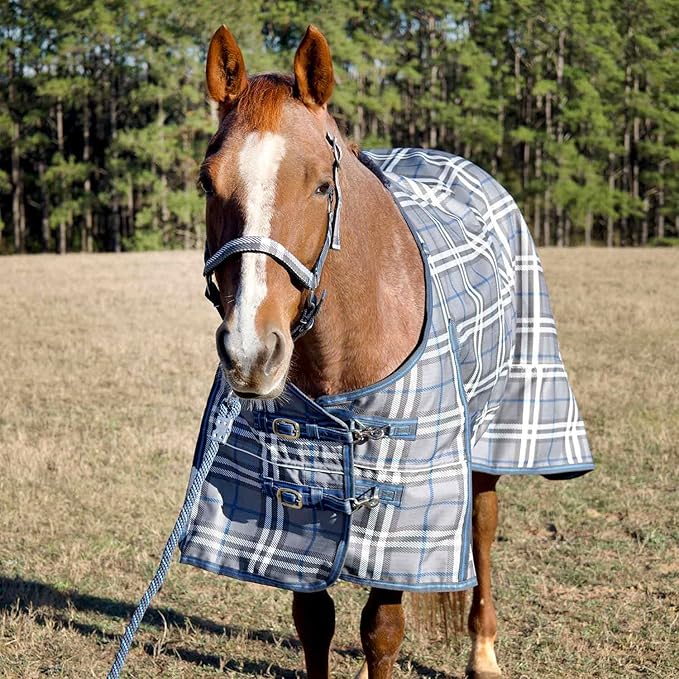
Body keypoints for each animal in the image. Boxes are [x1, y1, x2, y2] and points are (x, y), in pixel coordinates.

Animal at [187, 24, 593, 679]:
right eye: (207, 181)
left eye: (322, 184)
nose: (251, 352)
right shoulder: (296, 506)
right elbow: (313, 621)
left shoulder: (409, 503)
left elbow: (382, 630)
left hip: (491, 437)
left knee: (482, 536)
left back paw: (483, 653)